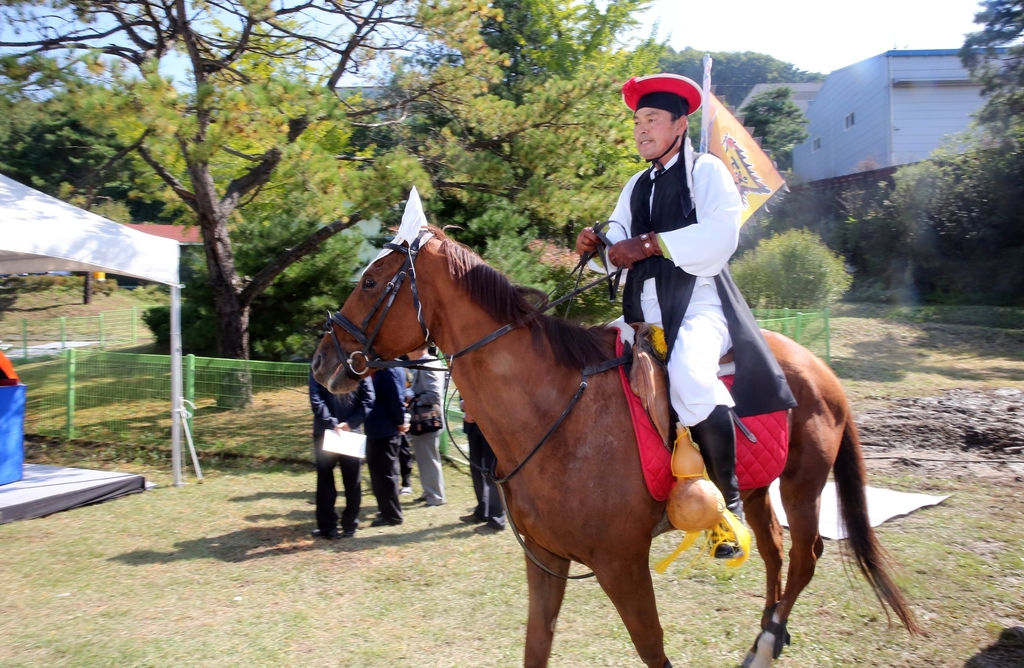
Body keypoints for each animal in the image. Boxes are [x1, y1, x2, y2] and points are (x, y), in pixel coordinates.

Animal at [311, 227, 921, 663]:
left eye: (371, 283)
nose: (321, 362)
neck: (554, 413)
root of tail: (819, 367)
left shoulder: (621, 564)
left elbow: (651, 647)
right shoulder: (546, 560)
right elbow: (537, 644)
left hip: (801, 484)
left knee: (803, 556)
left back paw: (771, 639)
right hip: (756, 488)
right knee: (771, 548)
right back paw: (764, 638)